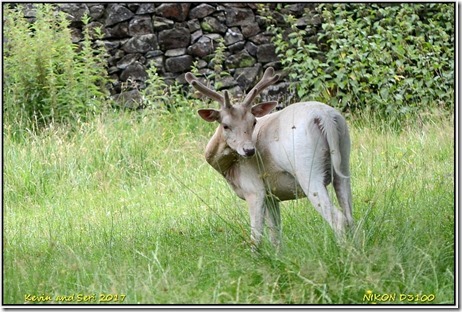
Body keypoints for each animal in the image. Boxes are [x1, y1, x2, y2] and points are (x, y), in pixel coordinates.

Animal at [186, 66, 352, 251]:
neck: (229, 170)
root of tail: (324, 117)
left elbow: (256, 236)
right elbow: (275, 234)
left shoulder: (254, 189)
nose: (249, 150)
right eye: (226, 125)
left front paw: (256, 256)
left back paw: (344, 253)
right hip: (344, 159)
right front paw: (278, 256)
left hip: (307, 168)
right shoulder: (272, 195)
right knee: (349, 214)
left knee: (339, 218)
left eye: (253, 122)